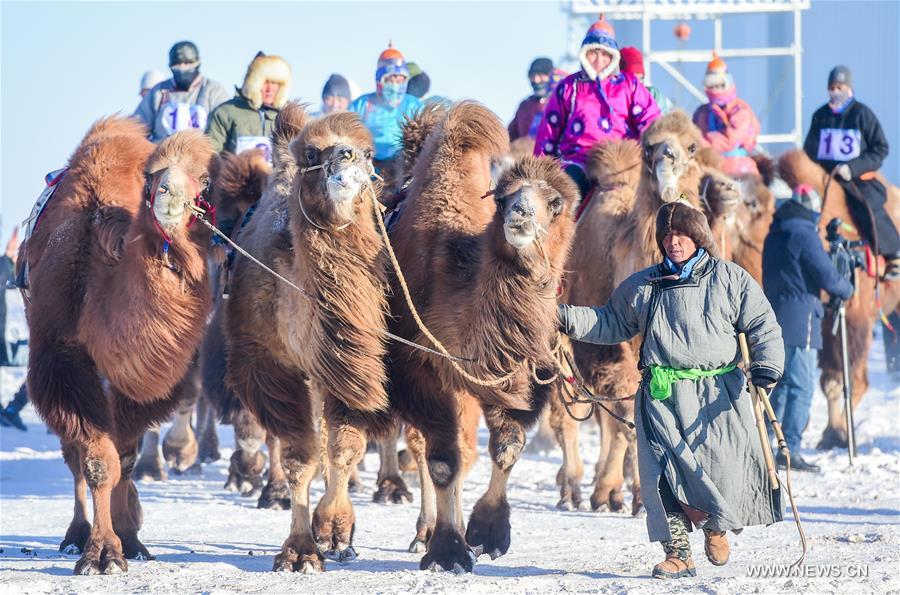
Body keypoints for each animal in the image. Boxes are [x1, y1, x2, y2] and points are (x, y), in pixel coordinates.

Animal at [21, 119, 216, 574]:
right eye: (152, 176)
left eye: (205, 179)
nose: (168, 195)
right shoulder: (64, 359)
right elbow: (95, 461)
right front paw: (101, 553)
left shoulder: (139, 385)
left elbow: (124, 458)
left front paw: (129, 538)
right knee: (73, 454)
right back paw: (75, 534)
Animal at [225, 103, 394, 573]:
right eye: (313, 154)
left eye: (367, 151)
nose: (346, 156)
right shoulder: (273, 369)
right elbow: (300, 455)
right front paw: (300, 550)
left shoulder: (348, 366)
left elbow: (343, 447)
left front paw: (336, 531)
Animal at [386, 101, 579, 572]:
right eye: (505, 198)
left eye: (555, 202)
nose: (519, 216)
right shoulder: (422, 369)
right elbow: (441, 461)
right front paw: (448, 551)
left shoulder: (519, 374)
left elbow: (508, 447)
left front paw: (488, 534)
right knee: (431, 449)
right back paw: (424, 533)